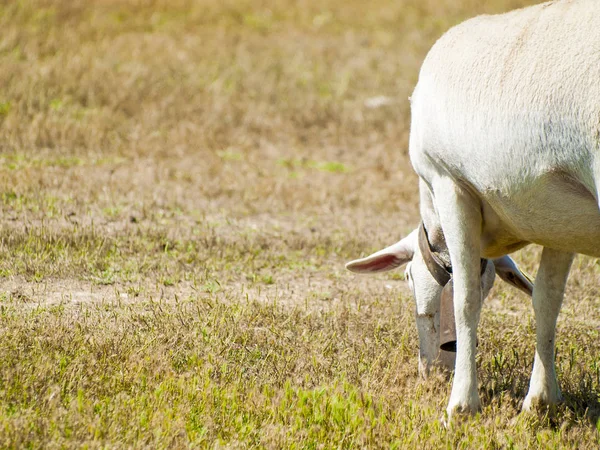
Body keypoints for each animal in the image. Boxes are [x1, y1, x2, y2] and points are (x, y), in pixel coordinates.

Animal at [346, 0, 600, 420]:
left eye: (408, 278)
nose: (432, 372)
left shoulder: (451, 184)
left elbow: (466, 299)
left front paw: (461, 405)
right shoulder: (558, 217)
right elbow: (546, 300)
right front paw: (541, 401)